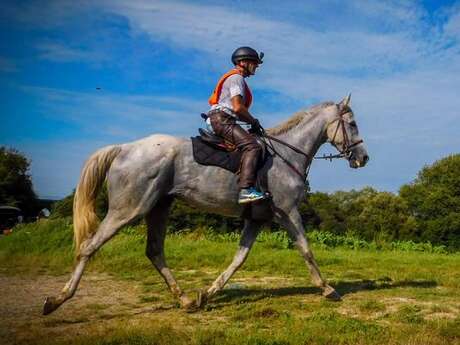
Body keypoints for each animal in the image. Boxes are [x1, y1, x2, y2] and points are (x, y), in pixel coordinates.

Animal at [42, 94, 366, 314]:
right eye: (351, 123)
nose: (363, 158)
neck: (286, 155)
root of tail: (125, 148)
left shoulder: (256, 219)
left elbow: (238, 259)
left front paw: (207, 294)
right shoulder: (288, 212)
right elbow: (306, 250)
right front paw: (328, 289)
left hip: (158, 207)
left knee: (154, 251)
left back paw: (185, 299)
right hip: (129, 209)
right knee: (89, 246)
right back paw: (57, 300)